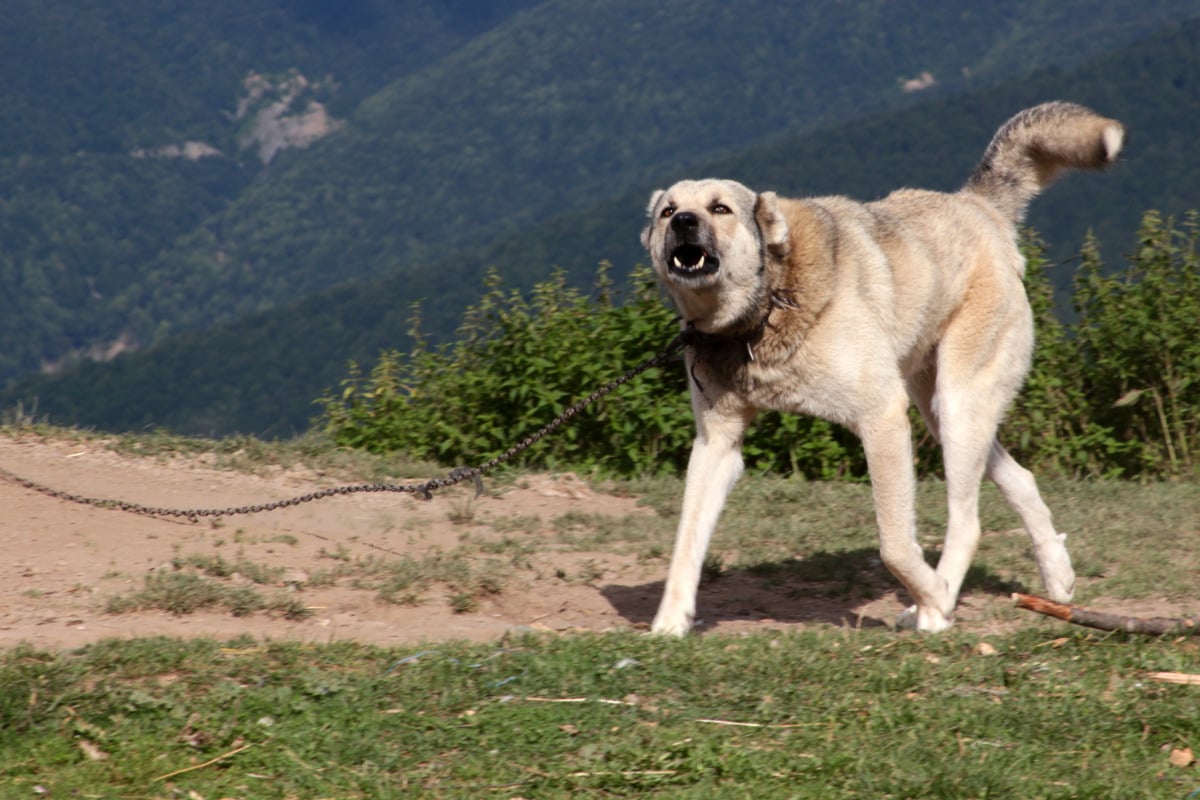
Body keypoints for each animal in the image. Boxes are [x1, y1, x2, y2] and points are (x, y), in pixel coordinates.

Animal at [643, 103, 1118, 633]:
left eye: (720, 209)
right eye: (668, 211)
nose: (684, 222)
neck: (765, 310)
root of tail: (977, 206)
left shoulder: (882, 417)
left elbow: (893, 543)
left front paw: (933, 598)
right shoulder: (716, 445)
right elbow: (685, 543)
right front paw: (668, 625)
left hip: (958, 404)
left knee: (968, 522)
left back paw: (937, 605)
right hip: (941, 412)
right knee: (1020, 478)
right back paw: (1057, 576)